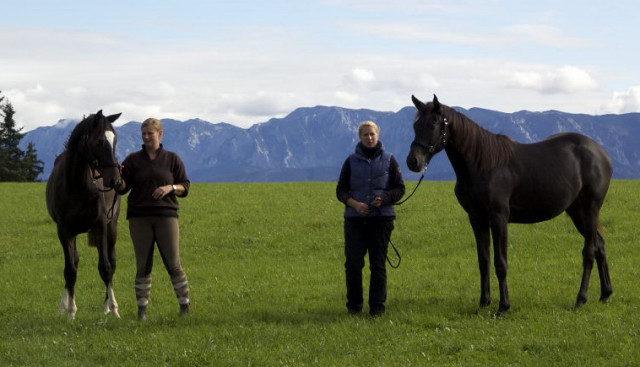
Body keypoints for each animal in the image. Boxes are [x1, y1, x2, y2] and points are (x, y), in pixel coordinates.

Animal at [46, 110, 122, 320]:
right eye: (99, 141)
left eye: (115, 140)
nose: (116, 180)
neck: (77, 186)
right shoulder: (64, 231)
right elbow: (70, 270)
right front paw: (70, 311)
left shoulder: (101, 226)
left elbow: (105, 267)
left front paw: (113, 309)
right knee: (75, 262)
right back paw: (64, 305)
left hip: (112, 227)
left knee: (112, 261)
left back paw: (107, 305)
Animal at [408, 95, 612, 316]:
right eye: (415, 125)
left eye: (433, 124)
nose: (413, 161)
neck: (483, 164)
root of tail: (600, 153)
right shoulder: (477, 220)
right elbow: (484, 261)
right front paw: (483, 302)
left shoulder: (499, 219)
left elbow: (500, 263)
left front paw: (503, 307)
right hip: (576, 212)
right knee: (600, 246)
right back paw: (605, 294)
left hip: (590, 209)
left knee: (589, 252)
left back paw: (581, 299)